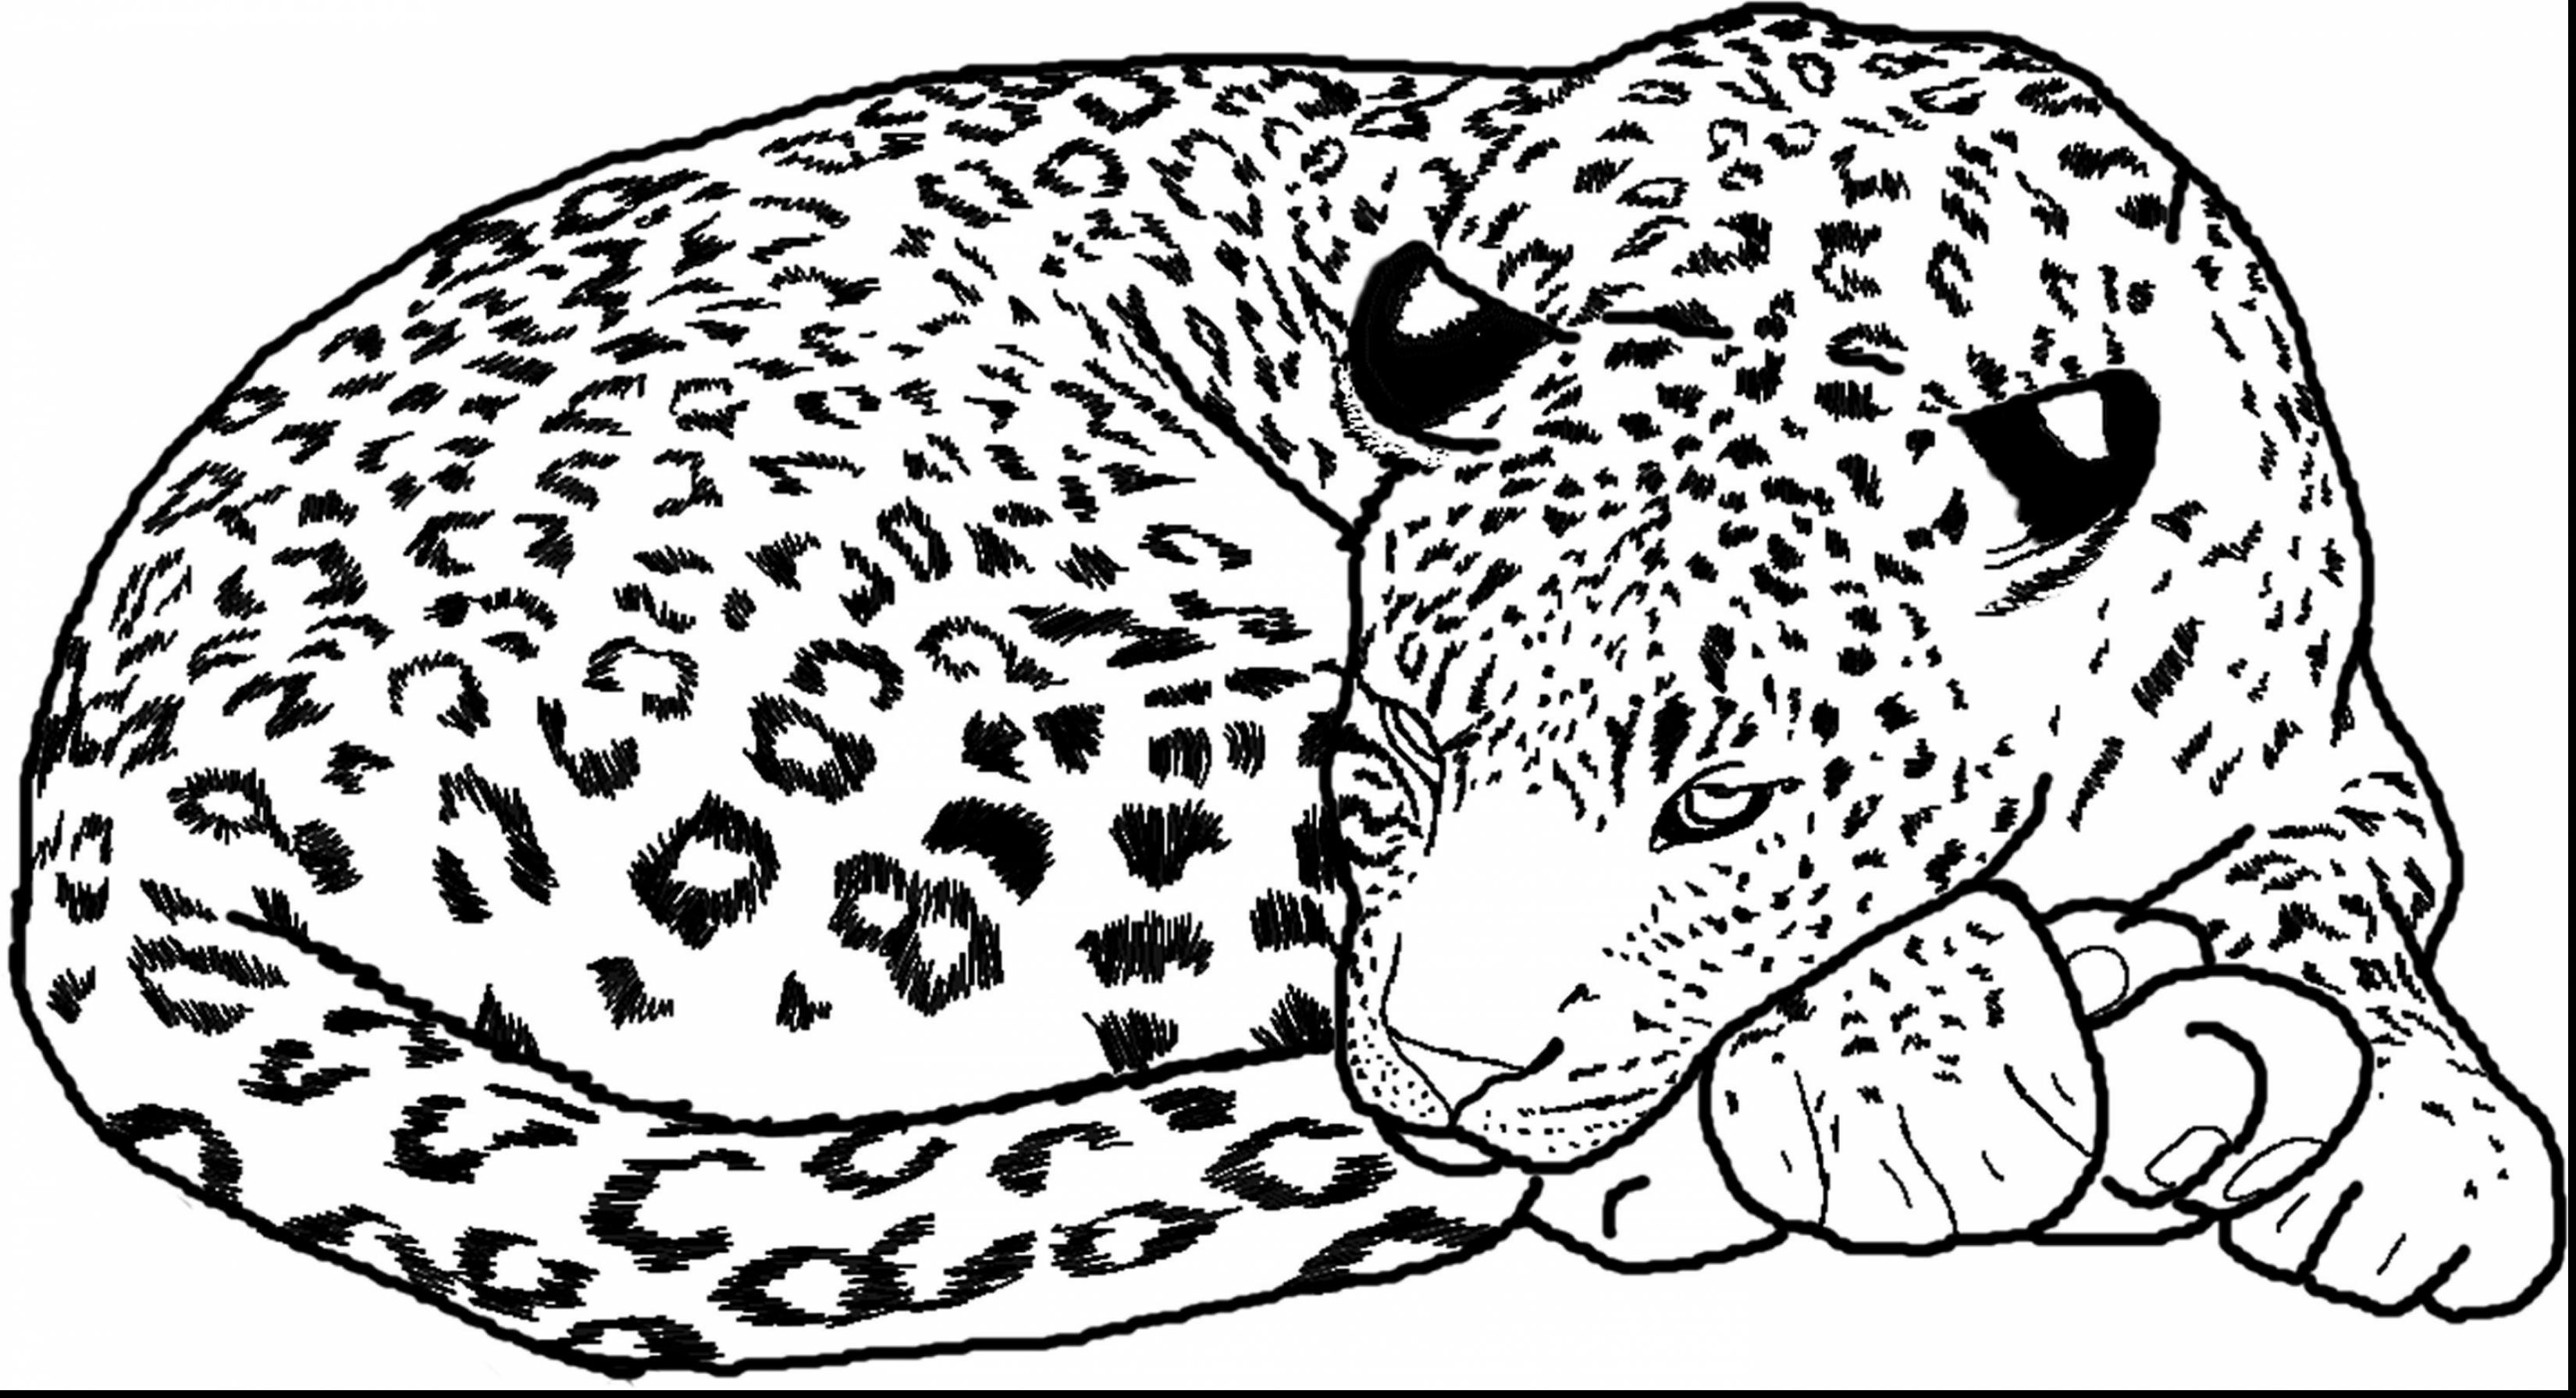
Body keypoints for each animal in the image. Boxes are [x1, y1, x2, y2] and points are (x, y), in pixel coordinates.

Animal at [13, 3, 2563, 1376]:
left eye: (1719, 801)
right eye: (1403, 757)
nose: (1447, 1063)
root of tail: (105, 760)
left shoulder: (2332, 738)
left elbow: (2364, 878)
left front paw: (2431, 1157)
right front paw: (1933, 1075)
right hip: (1051, 687)